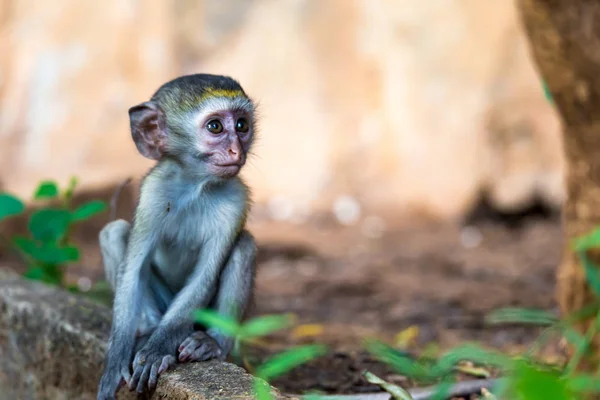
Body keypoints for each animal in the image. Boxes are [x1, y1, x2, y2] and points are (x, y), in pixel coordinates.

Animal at [97, 73, 256, 398]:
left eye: (242, 125)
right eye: (215, 127)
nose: (237, 151)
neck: (195, 186)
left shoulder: (236, 200)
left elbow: (205, 276)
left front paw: (157, 351)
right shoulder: (153, 193)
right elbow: (133, 272)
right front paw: (115, 362)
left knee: (243, 246)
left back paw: (210, 343)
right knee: (114, 232)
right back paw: (146, 330)